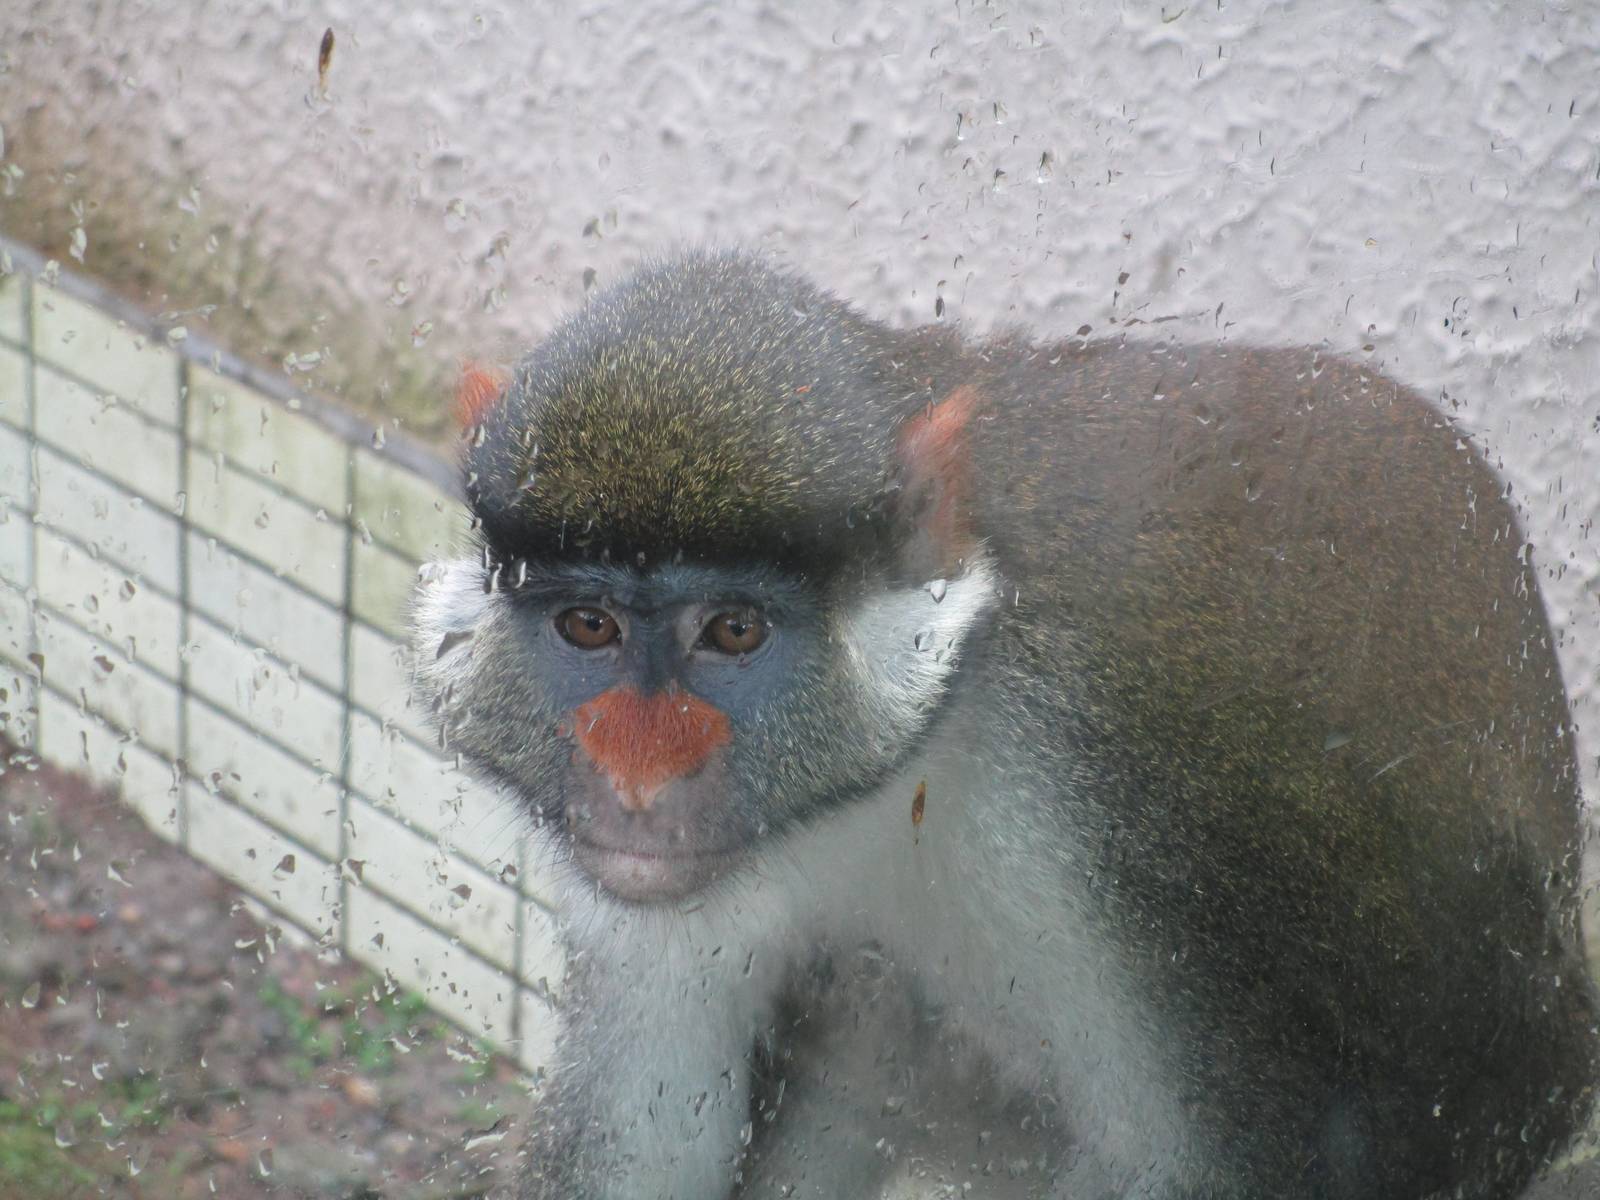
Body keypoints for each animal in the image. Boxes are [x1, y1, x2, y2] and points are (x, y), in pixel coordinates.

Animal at [410, 250, 1597, 1199]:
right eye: (590, 624)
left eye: (734, 631)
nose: (636, 778)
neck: (910, 763)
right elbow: (641, 1142)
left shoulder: (1115, 800)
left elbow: (1186, 1163)